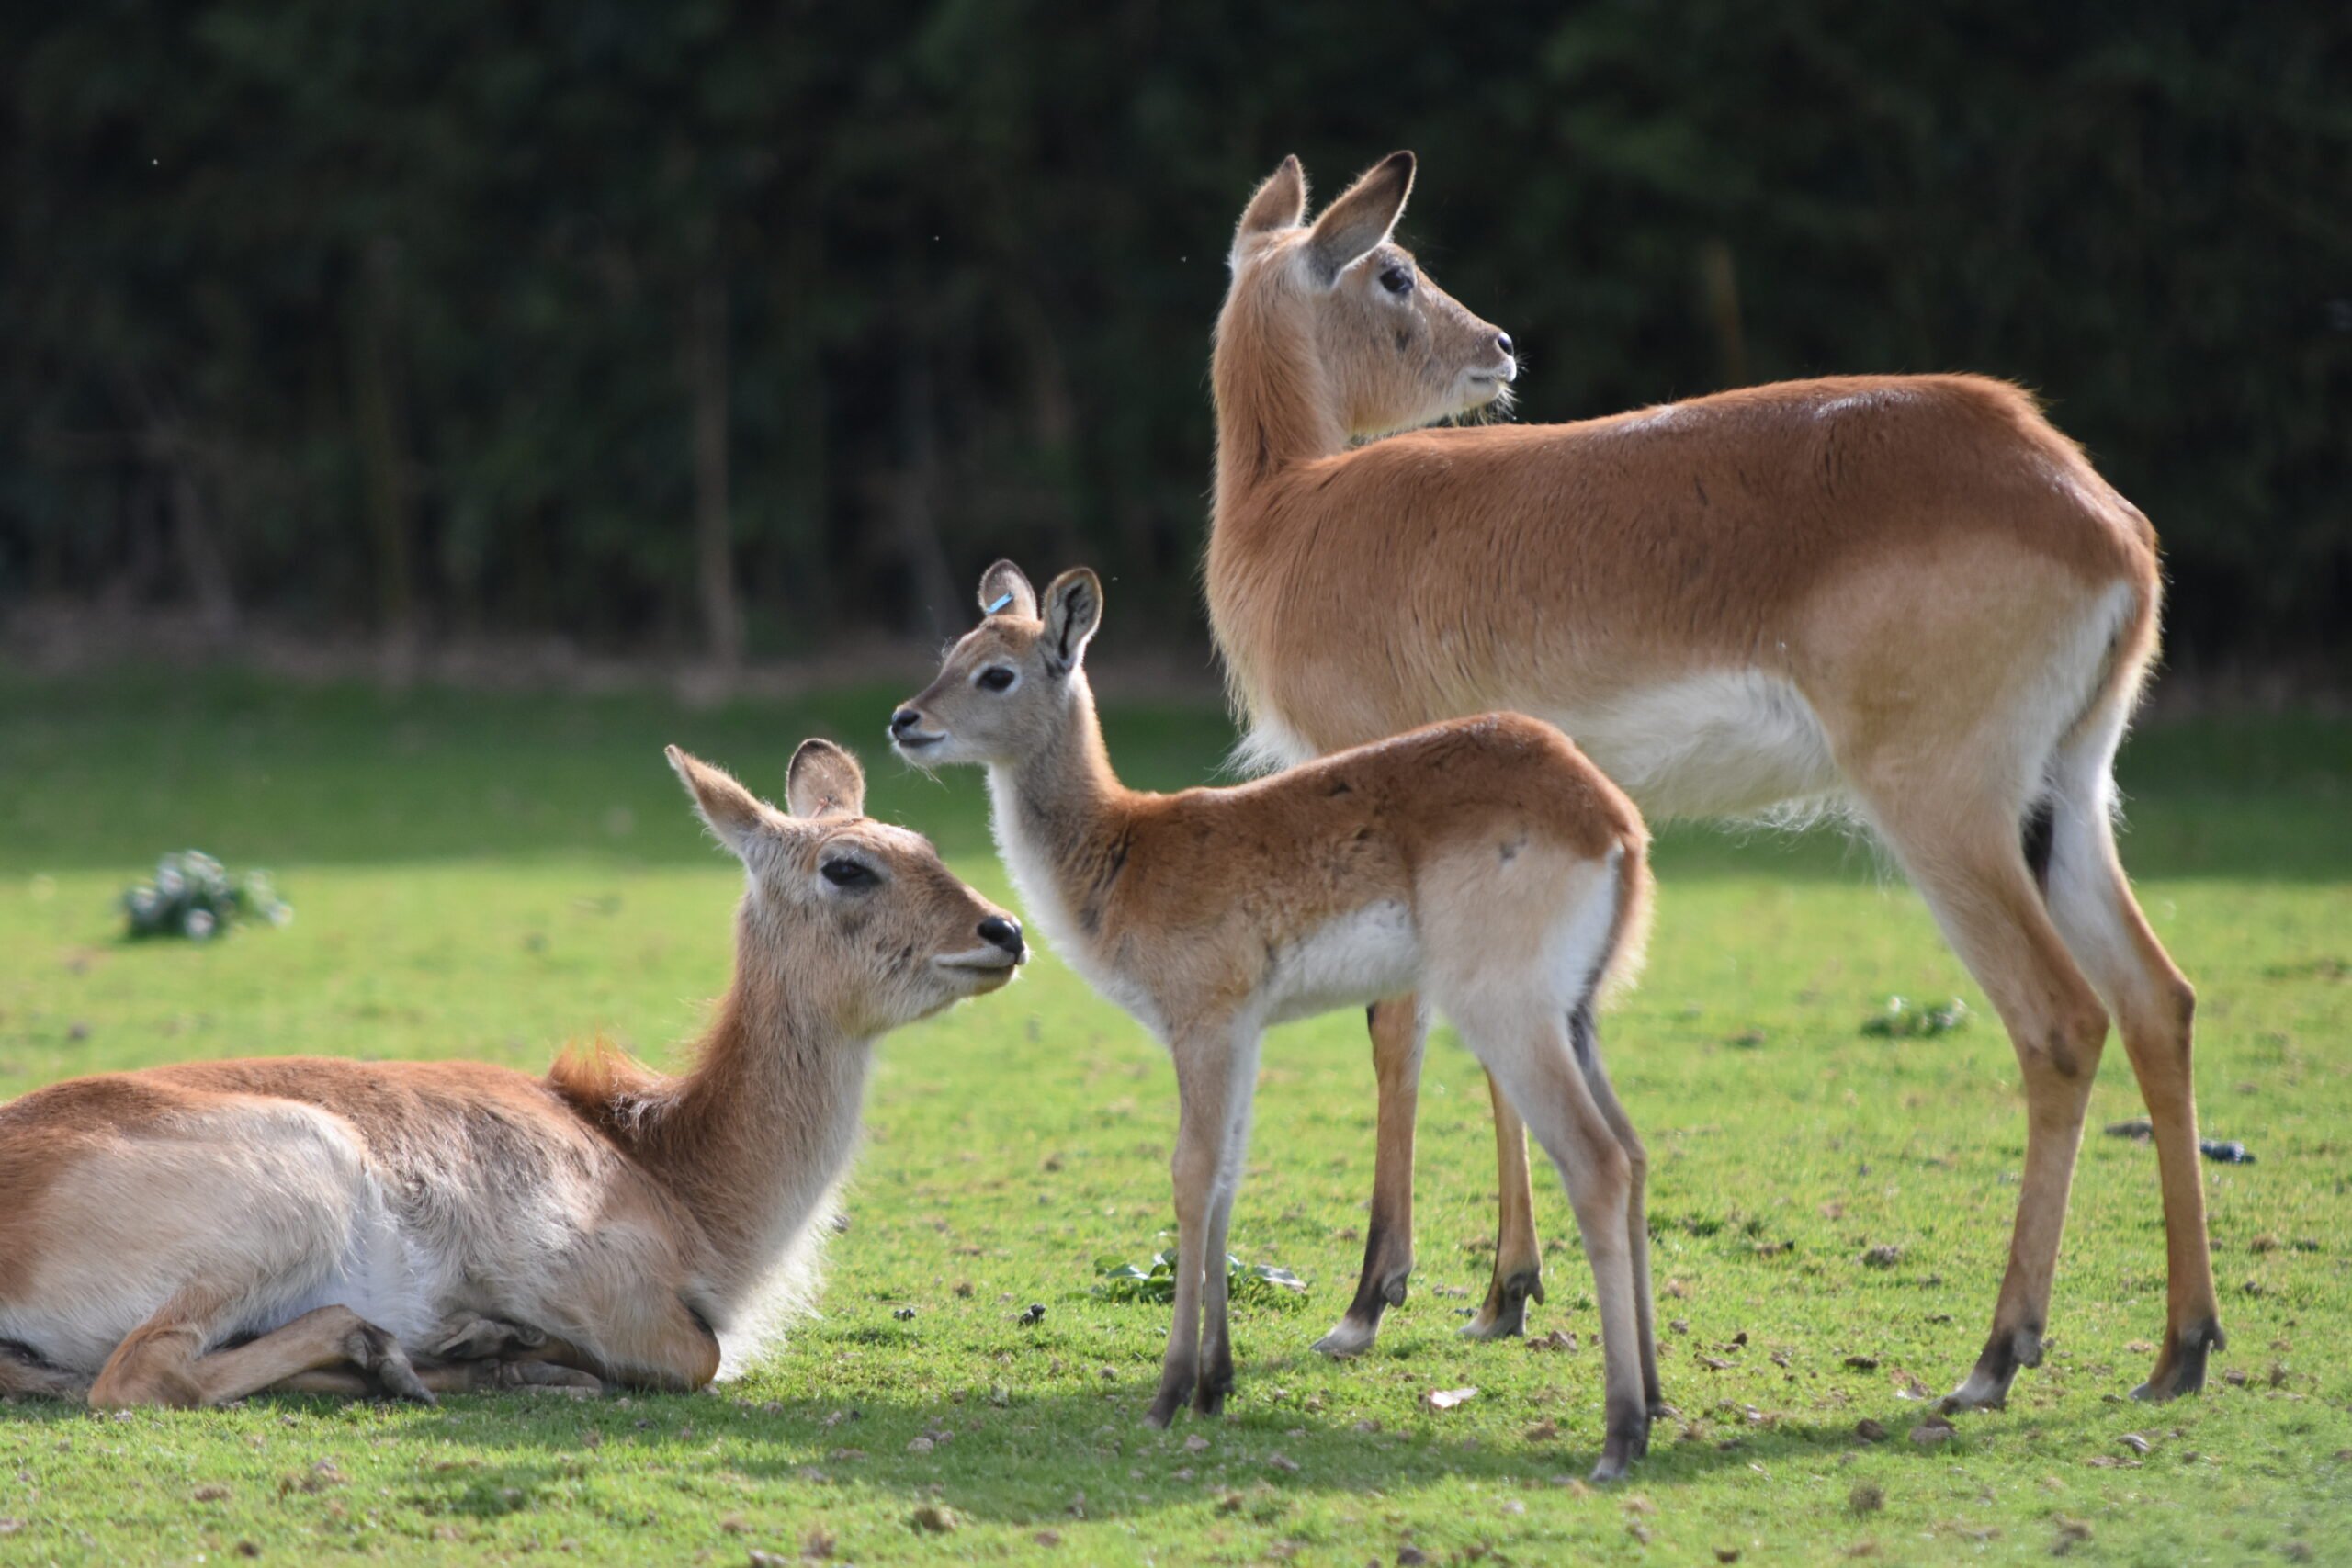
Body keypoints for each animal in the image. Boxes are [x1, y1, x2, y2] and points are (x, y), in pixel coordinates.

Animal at [2, 747, 1030, 1410]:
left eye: (925, 842)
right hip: (300, 1177)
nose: (1006, 931)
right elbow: (701, 1354)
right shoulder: (595, 1278)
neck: (673, 1170)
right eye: (847, 865)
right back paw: (423, 1348)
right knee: (141, 1374)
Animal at [888, 564, 1665, 1485]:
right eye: (954, 652)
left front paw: (1170, 1391)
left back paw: (1619, 1435)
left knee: (1597, 1161)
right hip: (1576, 1017)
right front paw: (1216, 1383)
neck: (1124, 847)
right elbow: (1228, 1177)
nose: (905, 721)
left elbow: (1191, 1174)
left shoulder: (1204, 1023)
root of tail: (1610, 819)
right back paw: (1657, 1403)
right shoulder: (1246, 1033)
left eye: (997, 673)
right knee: (1637, 1152)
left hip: (1507, 1012)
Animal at [1204, 152, 2211, 1419]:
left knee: (2062, 1019)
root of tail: (2092, 507)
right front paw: (1504, 1293)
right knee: (2158, 1000)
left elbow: (1397, 1026)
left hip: (1944, 814)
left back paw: (1994, 1356)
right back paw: (2179, 1351)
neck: (1292, 513)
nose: (1501, 346)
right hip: (2065, 801)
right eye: (1394, 270)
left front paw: (1369, 1300)